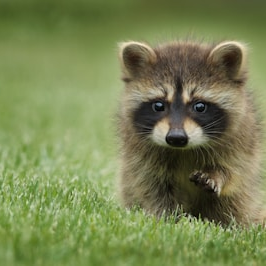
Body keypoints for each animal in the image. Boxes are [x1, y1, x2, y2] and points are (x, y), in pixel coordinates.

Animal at [117, 39, 264, 225]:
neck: (183, 150)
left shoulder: (241, 141)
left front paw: (217, 175)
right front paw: (169, 218)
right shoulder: (140, 156)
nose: (176, 138)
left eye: (199, 106)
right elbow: (152, 187)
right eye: (159, 105)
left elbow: (234, 171)